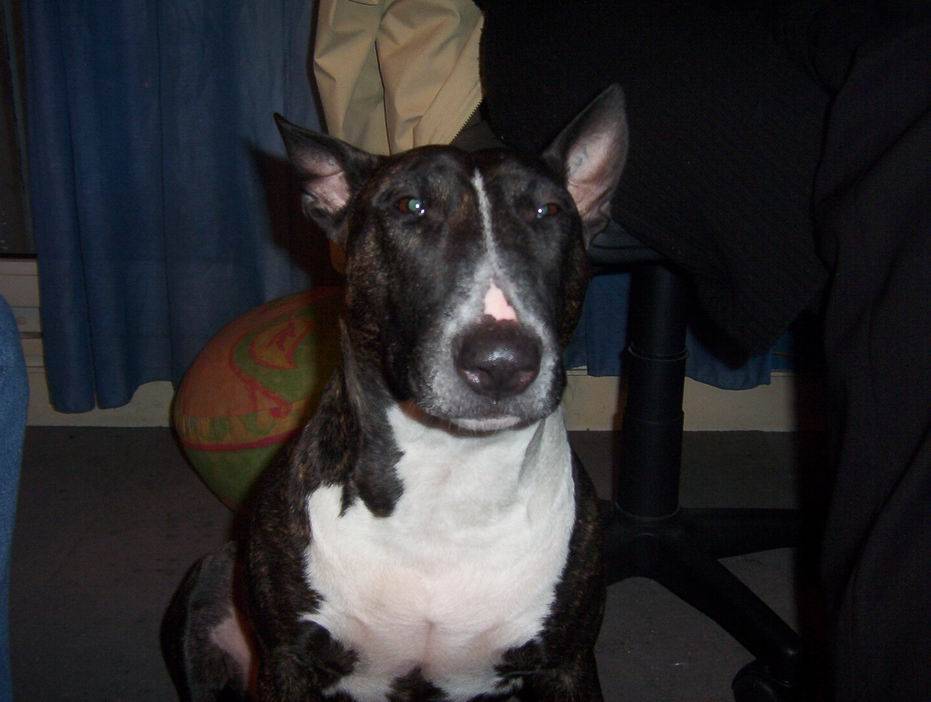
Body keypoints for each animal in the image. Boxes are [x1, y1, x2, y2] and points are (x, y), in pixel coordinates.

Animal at [163, 84, 629, 701]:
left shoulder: (567, 664)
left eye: (547, 211)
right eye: (411, 207)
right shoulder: (289, 661)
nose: (502, 363)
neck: (450, 479)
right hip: (212, 581)